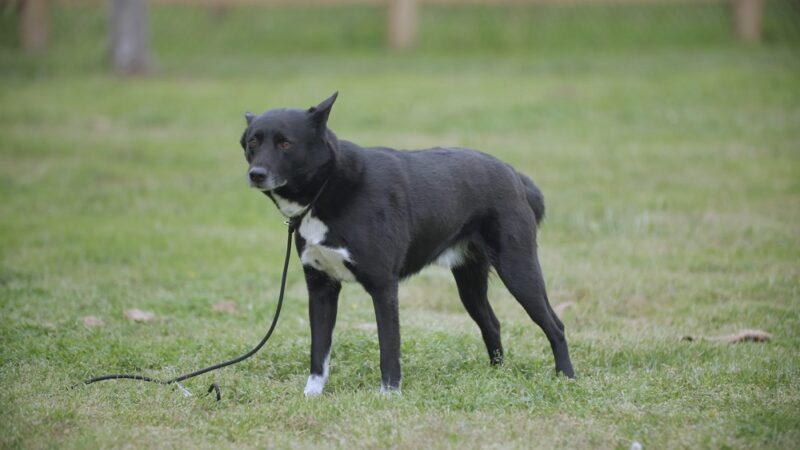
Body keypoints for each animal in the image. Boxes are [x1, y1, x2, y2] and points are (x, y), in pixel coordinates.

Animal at [239, 93, 576, 396]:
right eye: (253, 142)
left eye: (286, 143)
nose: (256, 175)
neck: (327, 187)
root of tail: (513, 174)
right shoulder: (321, 287)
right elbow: (319, 351)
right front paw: (313, 395)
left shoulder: (384, 287)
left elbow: (389, 347)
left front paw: (389, 394)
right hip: (469, 282)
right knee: (492, 324)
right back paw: (498, 374)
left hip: (519, 271)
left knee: (555, 326)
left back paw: (567, 378)